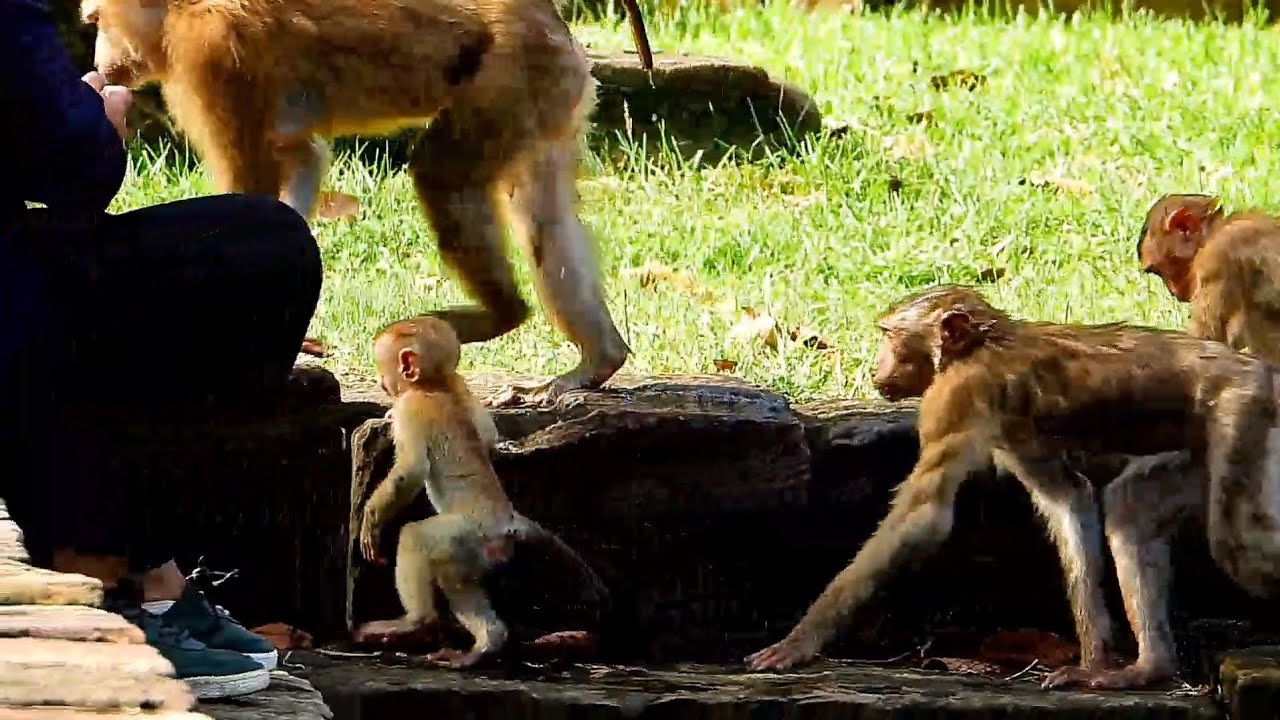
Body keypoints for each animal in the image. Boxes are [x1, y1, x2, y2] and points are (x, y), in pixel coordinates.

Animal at [81, 0, 632, 405]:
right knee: (546, 220)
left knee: (442, 175)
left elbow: (253, 195)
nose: (99, 62)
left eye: (99, 21)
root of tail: (547, 18)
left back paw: (505, 314)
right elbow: (301, 160)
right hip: (548, 87)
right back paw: (597, 361)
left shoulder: (209, 53)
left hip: (509, 71)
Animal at [355, 316, 608, 667]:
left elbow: (411, 470)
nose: (383, 383)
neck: (441, 382)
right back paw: (487, 643)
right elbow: (490, 440)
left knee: (415, 538)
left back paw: (415, 621)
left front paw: (371, 521)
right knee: (460, 583)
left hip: (466, 533)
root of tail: (507, 523)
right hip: (473, 552)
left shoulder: (411, 406)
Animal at [745, 285, 1280, 690]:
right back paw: (1151, 668)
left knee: (1237, 546)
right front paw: (1093, 660)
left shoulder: (955, 396)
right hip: (1206, 447)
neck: (983, 345)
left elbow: (922, 516)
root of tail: (1260, 370)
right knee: (1132, 508)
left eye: (890, 337)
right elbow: (1069, 497)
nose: (879, 369)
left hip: (1243, 412)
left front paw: (797, 643)